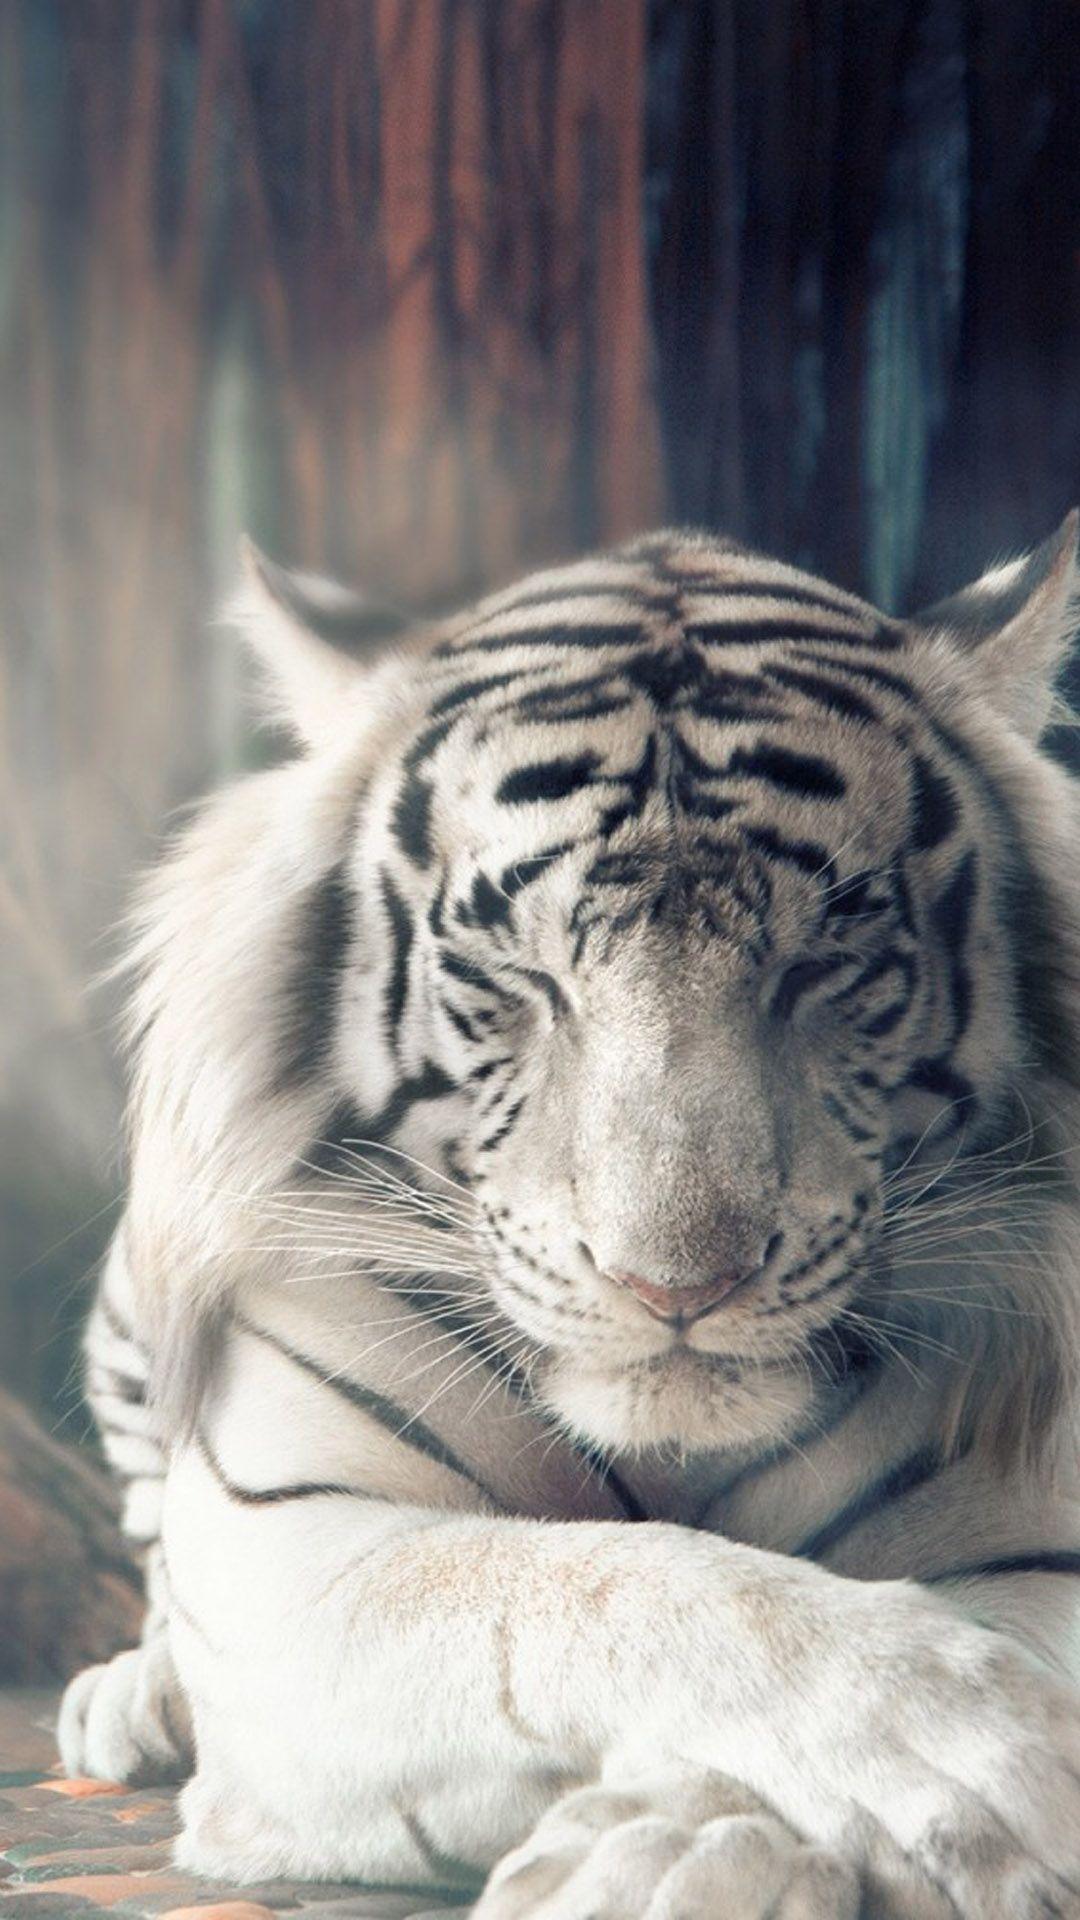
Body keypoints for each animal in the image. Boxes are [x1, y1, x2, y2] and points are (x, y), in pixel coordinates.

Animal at [58, 517, 1080, 1919]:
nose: (677, 1288)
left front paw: (663, 1855)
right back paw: (134, 1697)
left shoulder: (1044, 1541)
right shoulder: (300, 1552)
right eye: (519, 976)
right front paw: (978, 1752)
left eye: (823, 965)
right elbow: (613, 1587)